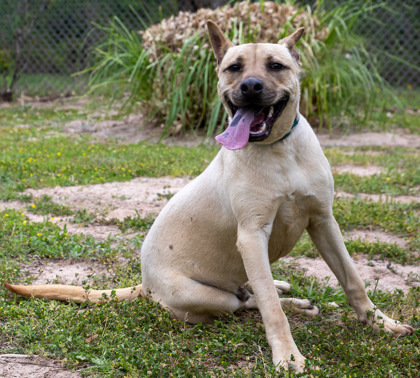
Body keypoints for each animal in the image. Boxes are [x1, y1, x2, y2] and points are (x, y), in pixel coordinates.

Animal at [5, 22, 414, 374]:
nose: (250, 86)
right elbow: (270, 309)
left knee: (254, 290)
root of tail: (145, 285)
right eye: (234, 68)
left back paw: (291, 292)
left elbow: (353, 280)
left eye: (276, 65)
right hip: (205, 296)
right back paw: (292, 301)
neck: (279, 152)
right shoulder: (252, 236)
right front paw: (287, 356)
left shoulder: (323, 221)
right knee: (247, 300)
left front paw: (381, 323)